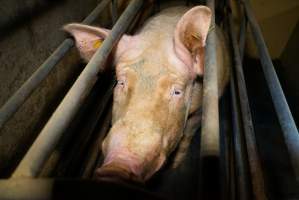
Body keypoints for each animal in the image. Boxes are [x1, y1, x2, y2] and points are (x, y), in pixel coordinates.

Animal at [64, 4, 231, 183]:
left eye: (177, 91)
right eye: (120, 82)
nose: (118, 165)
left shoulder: (200, 111)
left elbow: (187, 134)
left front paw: (174, 166)